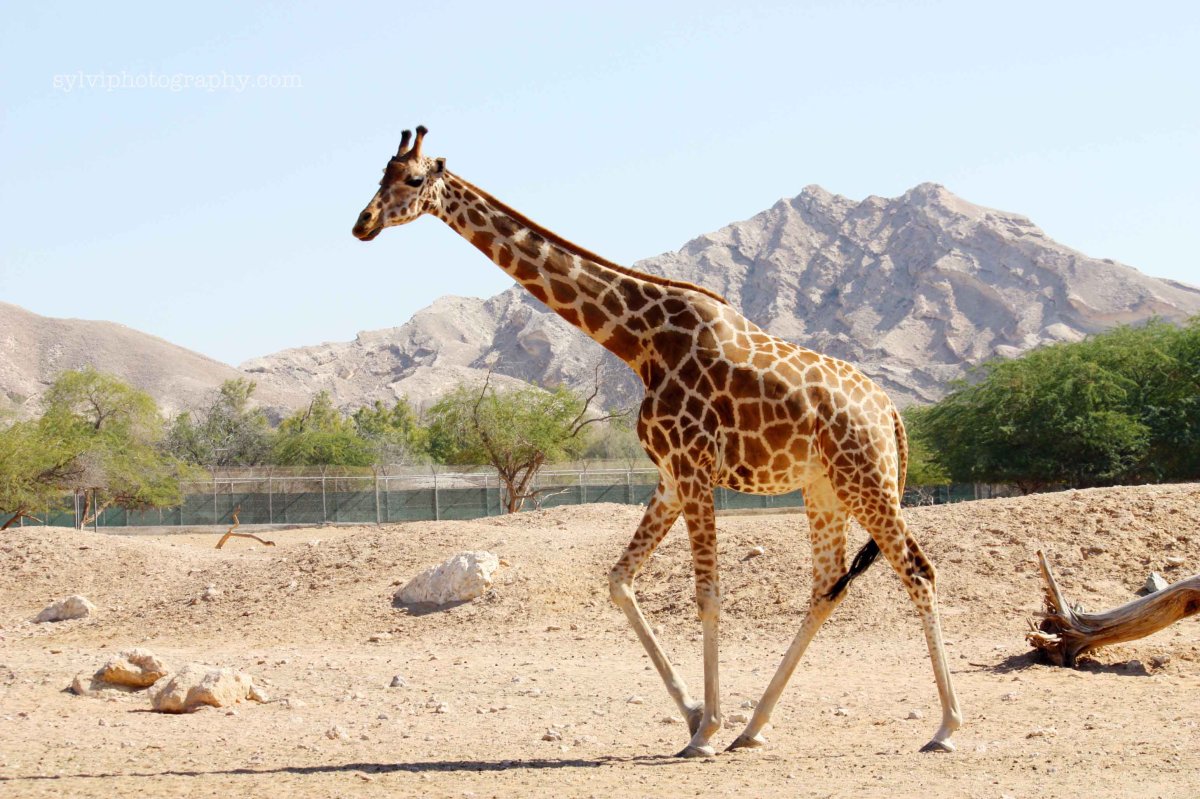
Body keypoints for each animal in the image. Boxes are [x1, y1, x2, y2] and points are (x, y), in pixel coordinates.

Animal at [352, 127, 963, 757]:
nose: (362, 223)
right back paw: (754, 727)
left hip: (866, 479)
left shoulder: (692, 468)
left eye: (413, 180)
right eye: (380, 174)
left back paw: (945, 726)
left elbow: (708, 594)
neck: (638, 341)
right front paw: (696, 715)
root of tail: (891, 412)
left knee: (919, 571)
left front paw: (706, 729)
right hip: (823, 488)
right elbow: (619, 580)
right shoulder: (669, 476)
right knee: (827, 585)